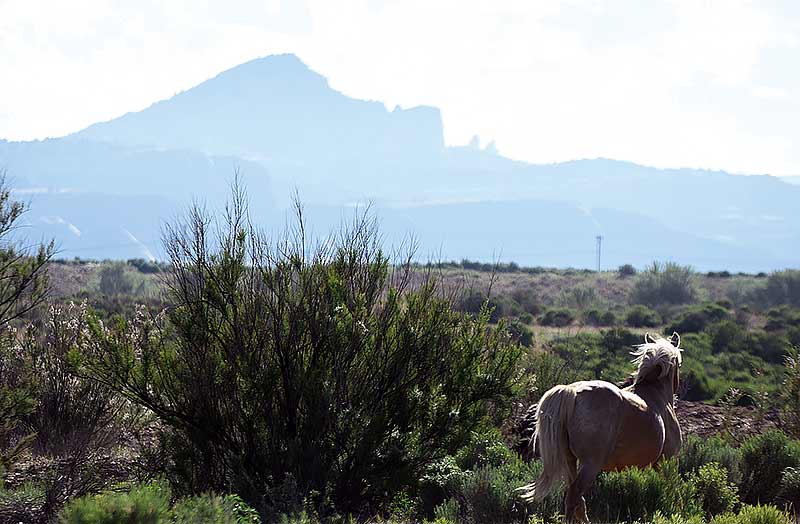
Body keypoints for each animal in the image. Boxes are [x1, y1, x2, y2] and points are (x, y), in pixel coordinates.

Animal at [517, 332, 683, 523]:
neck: (656, 395)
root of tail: (571, 392)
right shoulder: (666, 461)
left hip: (570, 460)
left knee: (575, 497)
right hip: (590, 464)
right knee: (574, 495)